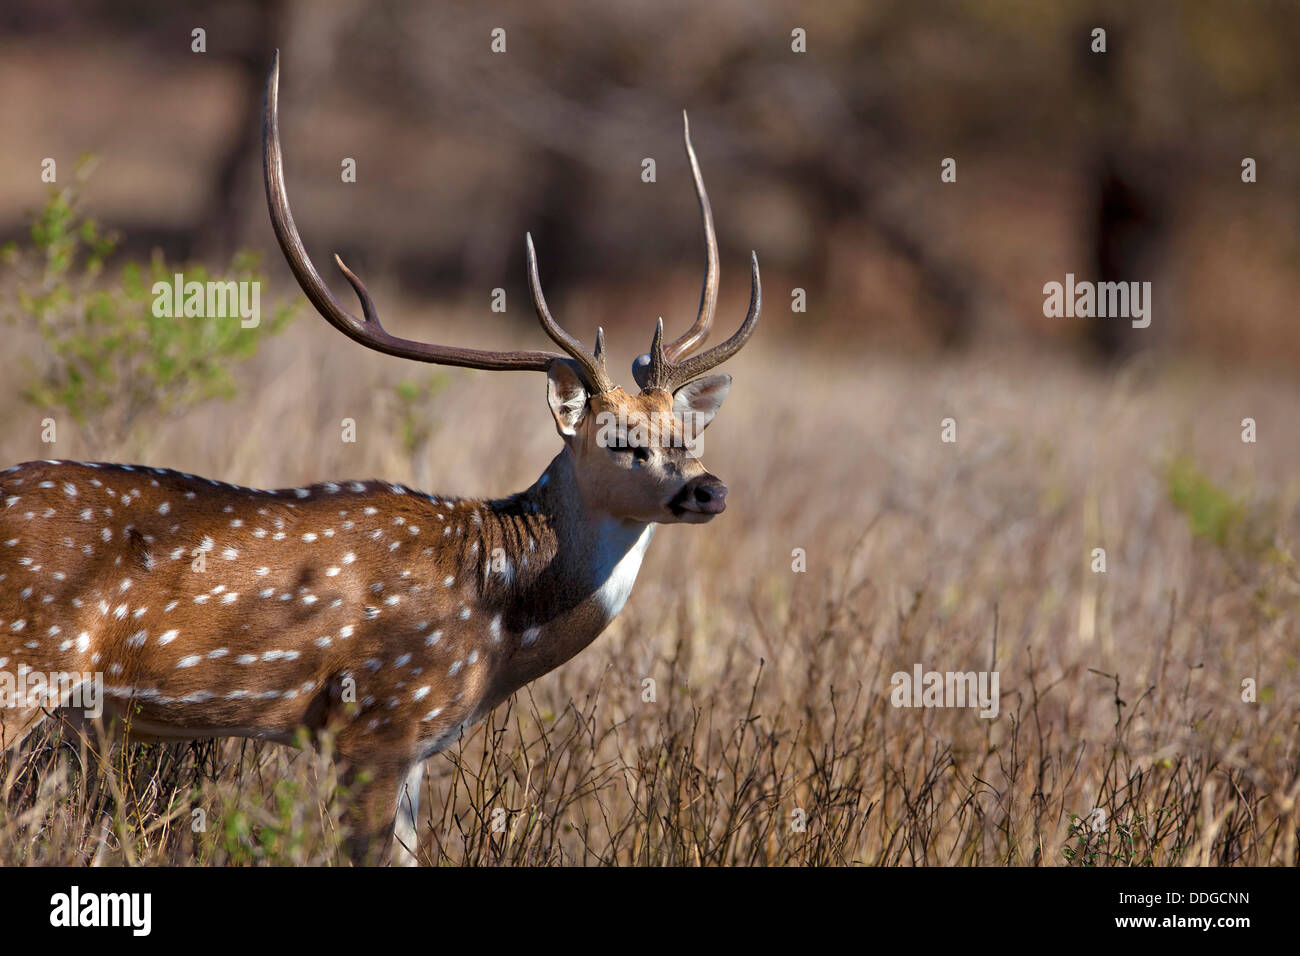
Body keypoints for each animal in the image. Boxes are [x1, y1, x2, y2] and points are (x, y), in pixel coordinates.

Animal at [0, 51, 759, 865]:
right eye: (620, 439)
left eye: (690, 433)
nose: (710, 491)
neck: (497, 619)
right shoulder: (378, 723)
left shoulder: (418, 750)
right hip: (23, 665)